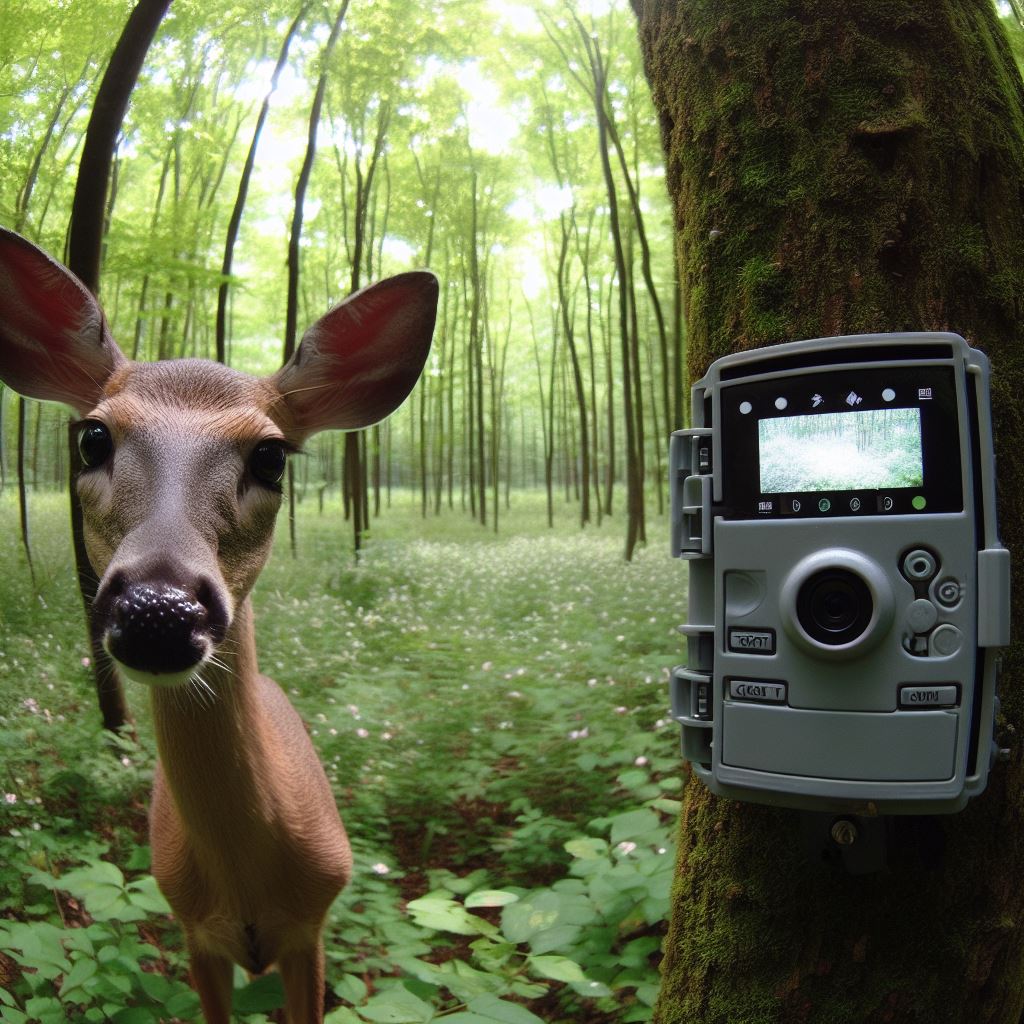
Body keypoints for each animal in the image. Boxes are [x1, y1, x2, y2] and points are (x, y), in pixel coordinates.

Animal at [0, 228, 436, 1019]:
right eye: (92, 439)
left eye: (271, 455)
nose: (159, 609)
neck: (246, 885)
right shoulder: (193, 935)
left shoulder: (311, 931)